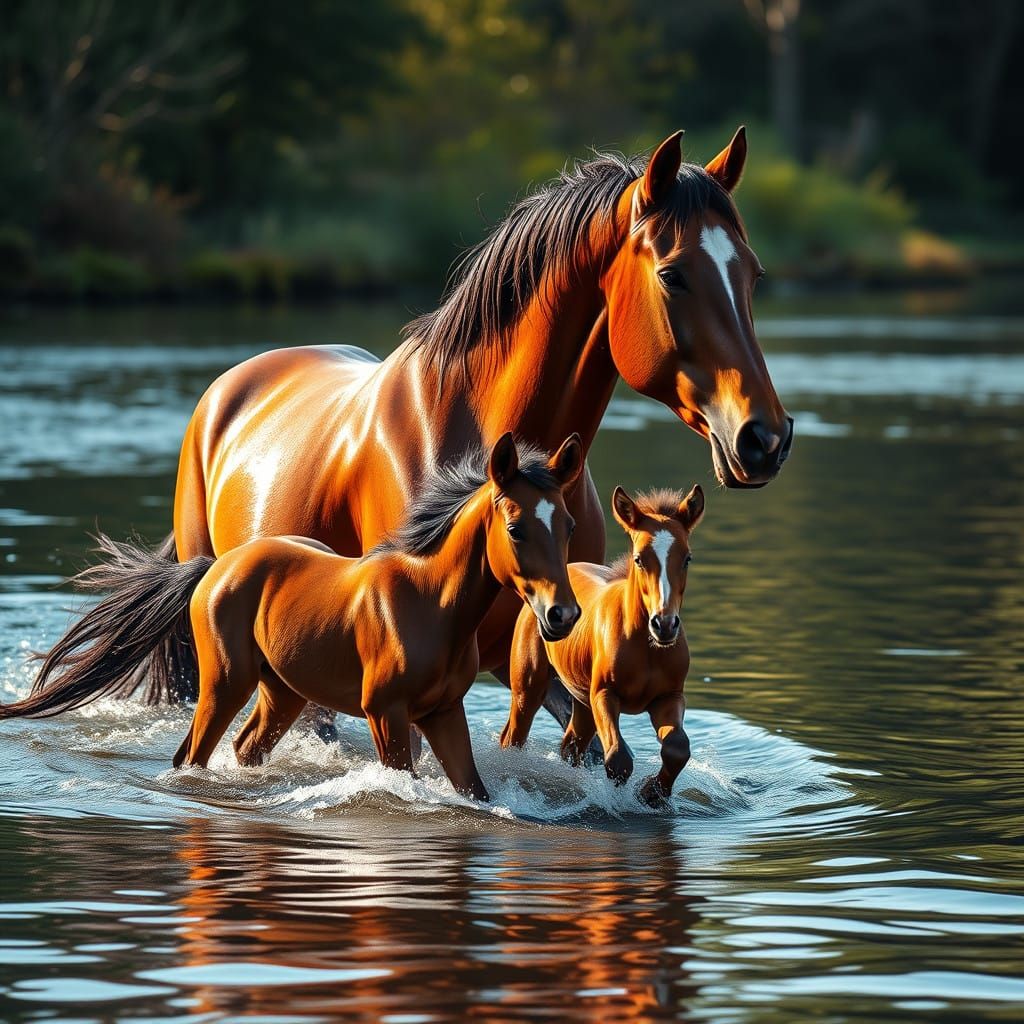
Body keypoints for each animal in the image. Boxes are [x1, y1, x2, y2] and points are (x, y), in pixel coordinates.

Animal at [3, 435, 584, 801]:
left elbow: (474, 791)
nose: (563, 615)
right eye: (515, 528)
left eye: (569, 525)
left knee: (245, 749)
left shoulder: (442, 713)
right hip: (224, 684)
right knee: (190, 755)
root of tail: (217, 567)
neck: (429, 604)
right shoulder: (385, 713)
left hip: (281, 692)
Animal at [500, 483, 704, 807]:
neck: (646, 648)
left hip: (581, 700)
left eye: (687, 558)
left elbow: (677, 747)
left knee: (571, 744)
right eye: (639, 558)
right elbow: (618, 758)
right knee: (513, 737)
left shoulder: (668, 697)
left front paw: (652, 794)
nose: (664, 624)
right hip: (528, 686)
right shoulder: (604, 694)